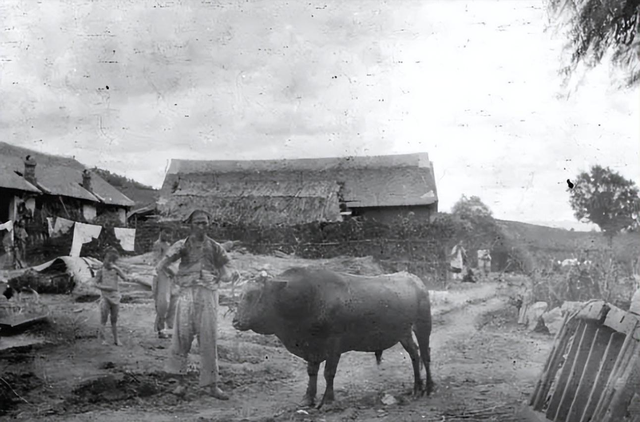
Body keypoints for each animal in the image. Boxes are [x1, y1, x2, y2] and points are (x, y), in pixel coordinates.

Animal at [230, 268, 436, 408]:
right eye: (240, 295)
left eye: (251, 295)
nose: (236, 321)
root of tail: (412, 277)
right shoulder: (312, 346)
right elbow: (312, 372)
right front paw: (308, 398)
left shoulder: (334, 344)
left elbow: (329, 372)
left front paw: (327, 400)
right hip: (403, 332)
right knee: (415, 354)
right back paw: (416, 388)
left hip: (423, 325)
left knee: (425, 355)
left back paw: (429, 387)